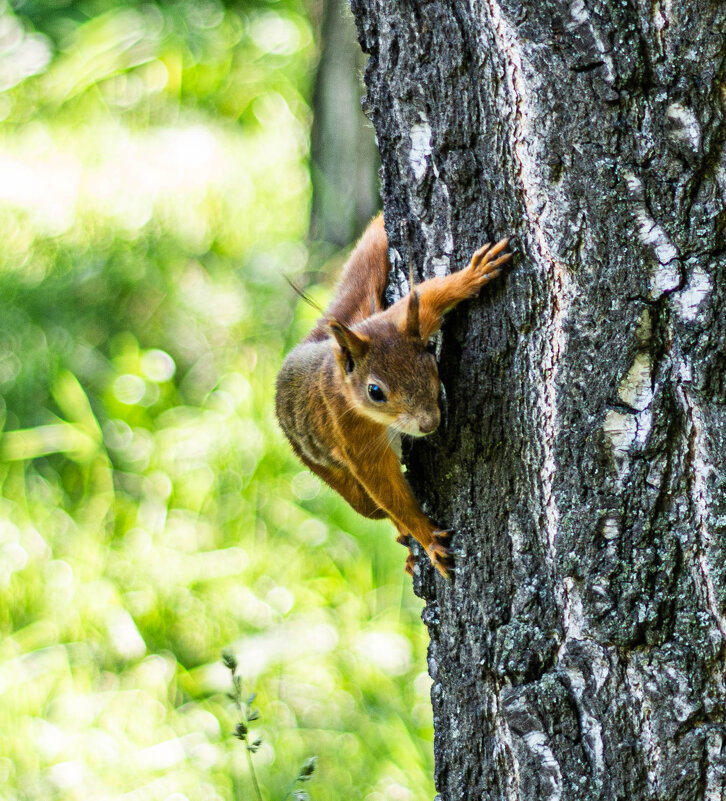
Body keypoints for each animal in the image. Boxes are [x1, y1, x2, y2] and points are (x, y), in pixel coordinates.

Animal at [276, 212, 516, 576]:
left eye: (431, 356)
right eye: (375, 391)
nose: (429, 423)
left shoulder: (404, 318)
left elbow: (431, 295)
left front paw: (471, 275)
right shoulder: (353, 433)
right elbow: (386, 489)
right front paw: (427, 537)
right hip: (335, 477)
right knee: (374, 508)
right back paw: (405, 537)